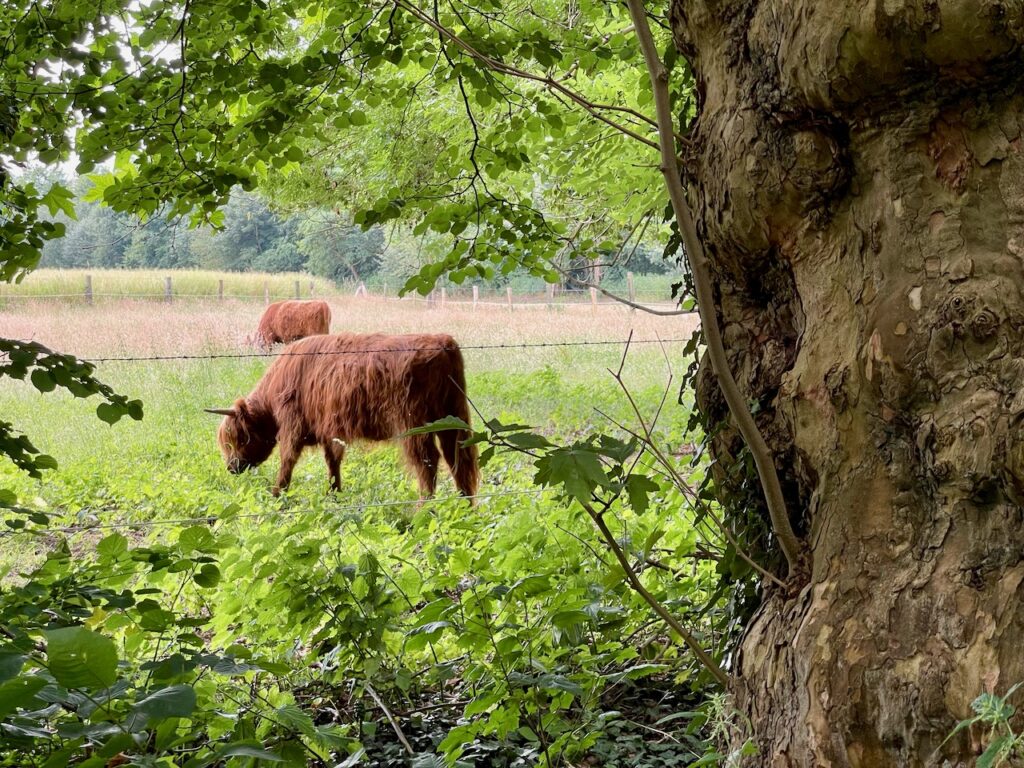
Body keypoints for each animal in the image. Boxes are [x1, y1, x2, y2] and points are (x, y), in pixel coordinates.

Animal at [207, 331, 483, 499]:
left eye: (237, 438)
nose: (231, 467)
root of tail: (443, 343)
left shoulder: (292, 426)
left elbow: (288, 460)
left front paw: (277, 494)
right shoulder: (330, 430)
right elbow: (332, 462)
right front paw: (334, 494)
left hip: (413, 423)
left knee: (427, 461)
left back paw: (425, 509)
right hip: (451, 417)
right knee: (458, 460)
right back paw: (463, 506)